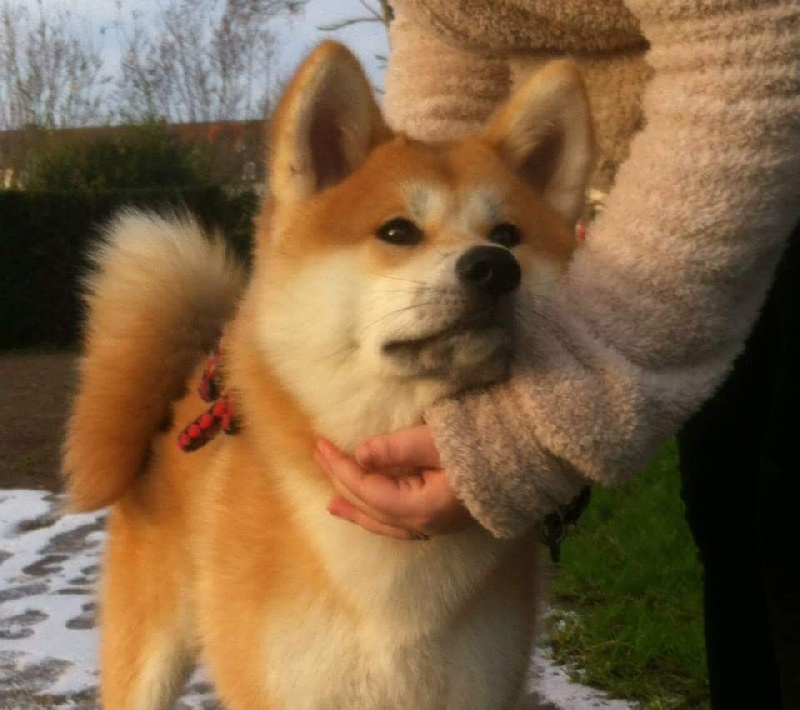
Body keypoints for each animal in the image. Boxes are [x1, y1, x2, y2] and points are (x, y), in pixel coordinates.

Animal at [63, 41, 593, 710]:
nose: (496, 268)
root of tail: (183, 394)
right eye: (397, 231)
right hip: (149, 658)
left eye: (508, 236)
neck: (394, 585)